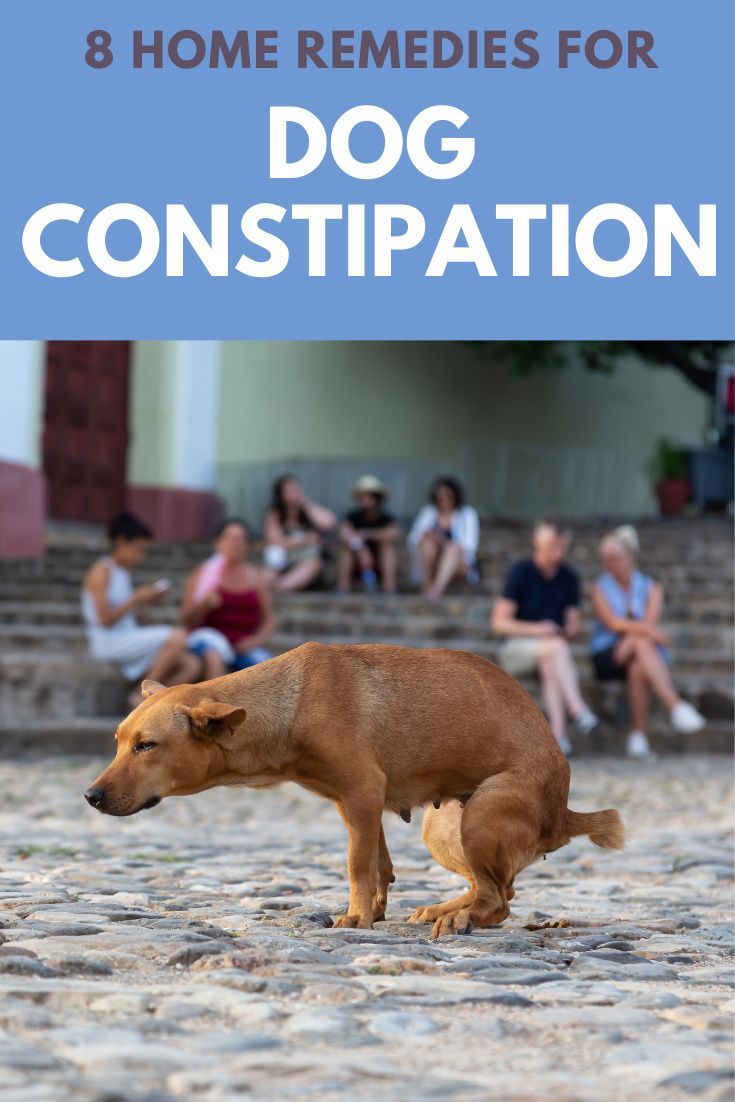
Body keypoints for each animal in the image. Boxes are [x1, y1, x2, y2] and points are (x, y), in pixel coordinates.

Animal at [86, 643, 625, 934]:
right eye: (117, 742)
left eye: (147, 746)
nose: (91, 797)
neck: (291, 702)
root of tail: (563, 813)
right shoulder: (358, 805)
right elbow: (378, 865)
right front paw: (376, 910)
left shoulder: (362, 794)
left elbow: (355, 866)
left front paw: (356, 918)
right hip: (443, 825)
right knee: (491, 887)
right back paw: (448, 908)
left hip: (482, 814)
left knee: (500, 900)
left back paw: (460, 919)